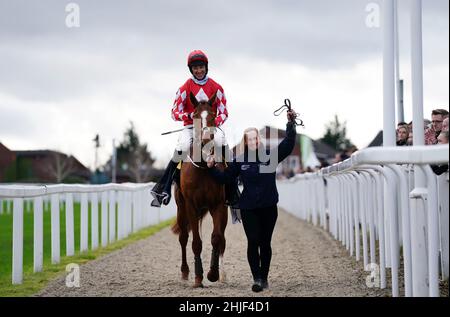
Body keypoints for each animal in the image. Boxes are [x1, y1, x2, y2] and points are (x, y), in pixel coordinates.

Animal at [172, 90, 229, 286]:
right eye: (195, 116)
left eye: (212, 115)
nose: (205, 139)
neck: (204, 166)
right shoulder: (191, 205)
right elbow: (196, 242)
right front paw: (198, 277)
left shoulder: (218, 204)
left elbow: (216, 238)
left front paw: (212, 273)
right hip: (181, 208)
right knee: (183, 237)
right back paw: (184, 272)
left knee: (222, 238)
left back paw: (222, 275)